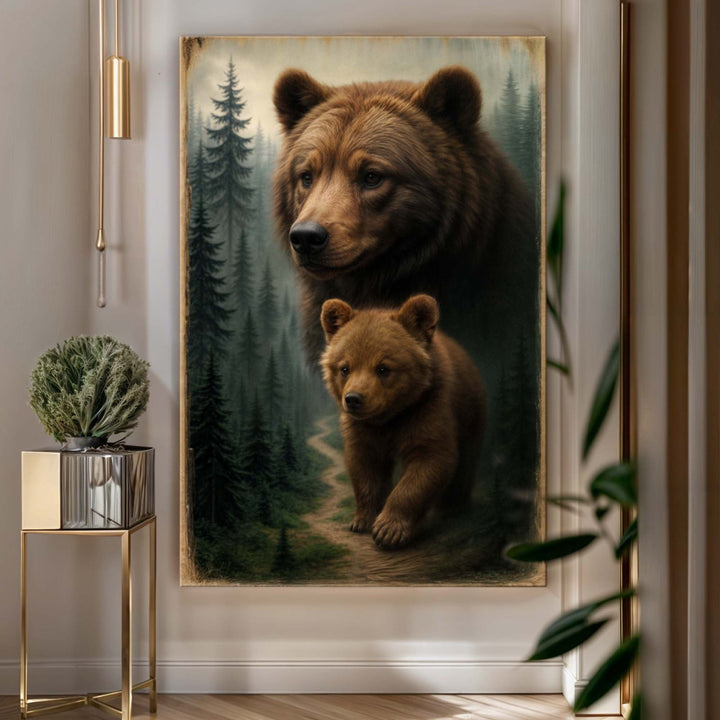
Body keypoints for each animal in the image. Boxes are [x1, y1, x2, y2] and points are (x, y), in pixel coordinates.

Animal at [320, 294, 486, 550]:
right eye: (344, 368)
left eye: (383, 368)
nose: (354, 399)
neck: (391, 416)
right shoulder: (363, 428)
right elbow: (365, 467)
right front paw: (362, 520)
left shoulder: (429, 409)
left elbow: (428, 462)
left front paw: (388, 529)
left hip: (470, 415)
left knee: (466, 461)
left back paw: (452, 506)